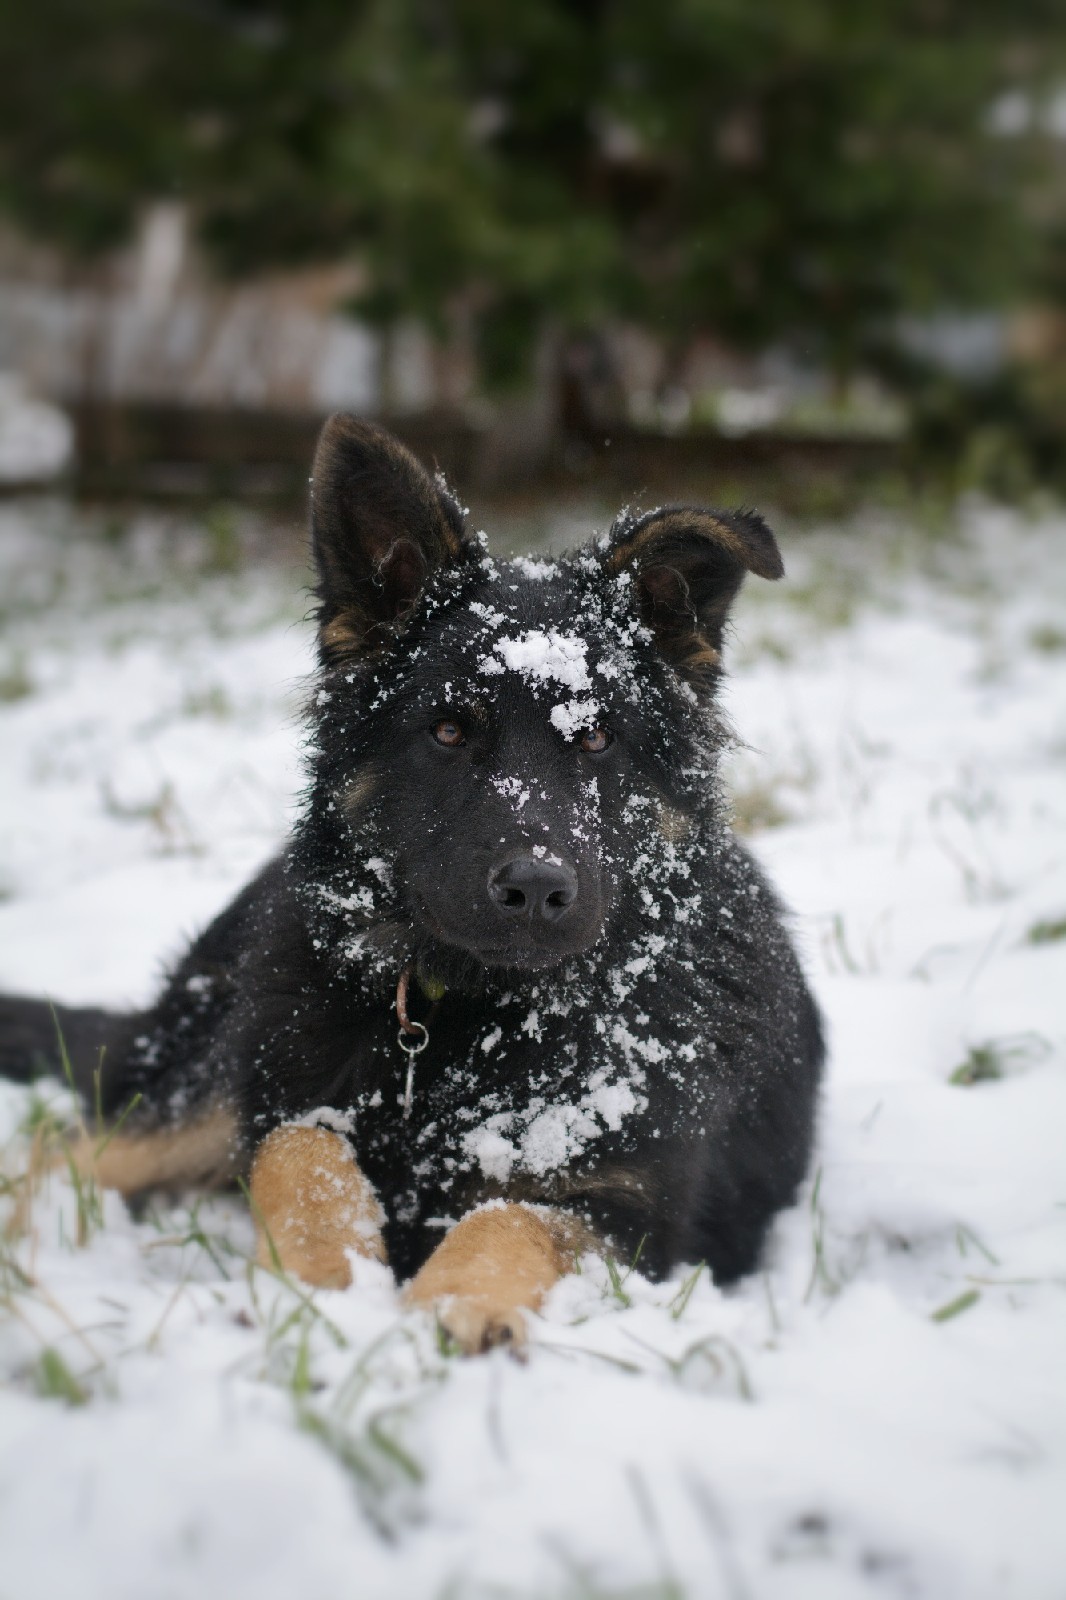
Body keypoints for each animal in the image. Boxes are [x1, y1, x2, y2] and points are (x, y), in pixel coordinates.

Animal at [0, 412, 819, 1350]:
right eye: (449, 730)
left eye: (597, 738)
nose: (536, 889)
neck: (474, 1018)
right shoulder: (281, 1095)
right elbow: (302, 1150)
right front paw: (325, 1278)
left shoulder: (633, 1208)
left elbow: (512, 1214)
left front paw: (455, 1305)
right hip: (206, 1078)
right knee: (64, 1153)